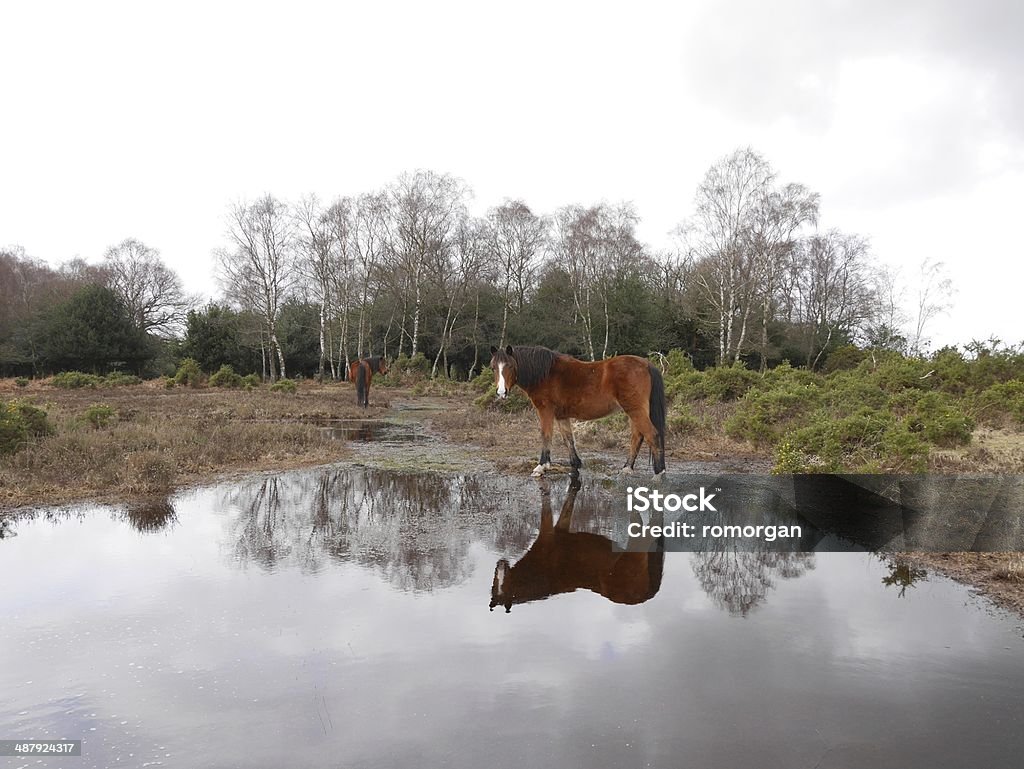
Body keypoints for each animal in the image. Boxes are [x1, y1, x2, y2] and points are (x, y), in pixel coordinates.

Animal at [491, 344, 667, 475]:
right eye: (493, 368)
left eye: (510, 366)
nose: (501, 392)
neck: (546, 374)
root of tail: (646, 364)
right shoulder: (561, 415)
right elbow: (568, 439)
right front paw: (575, 463)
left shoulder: (545, 411)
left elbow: (546, 435)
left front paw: (542, 466)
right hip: (634, 411)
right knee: (638, 436)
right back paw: (627, 468)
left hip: (635, 410)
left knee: (651, 434)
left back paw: (659, 473)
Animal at [491, 479, 667, 618]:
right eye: (494, 585)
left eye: (505, 585)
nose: (500, 564)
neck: (544, 573)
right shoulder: (561, 528)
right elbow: (568, 505)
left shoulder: (547, 533)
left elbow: (546, 509)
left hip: (637, 548)